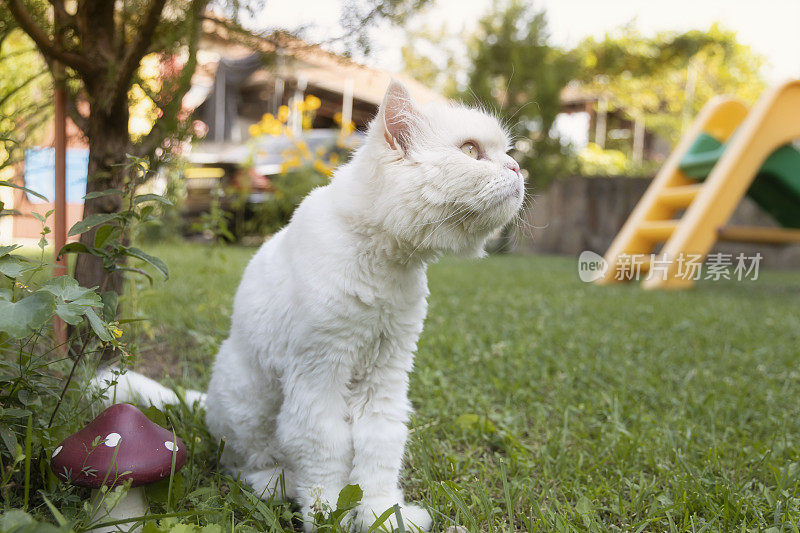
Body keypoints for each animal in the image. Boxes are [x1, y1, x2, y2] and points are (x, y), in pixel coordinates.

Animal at [101, 81, 524, 528]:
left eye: (506, 152)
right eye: (471, 151)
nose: (517, 169)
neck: (385, 265)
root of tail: (207, 400)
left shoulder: (385, 380)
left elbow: (378, 453)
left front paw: (381, 515)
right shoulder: (319, 379)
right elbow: (326, 458)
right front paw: (328, 517)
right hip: (249, 404)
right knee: (244, 464)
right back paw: (275, 486)